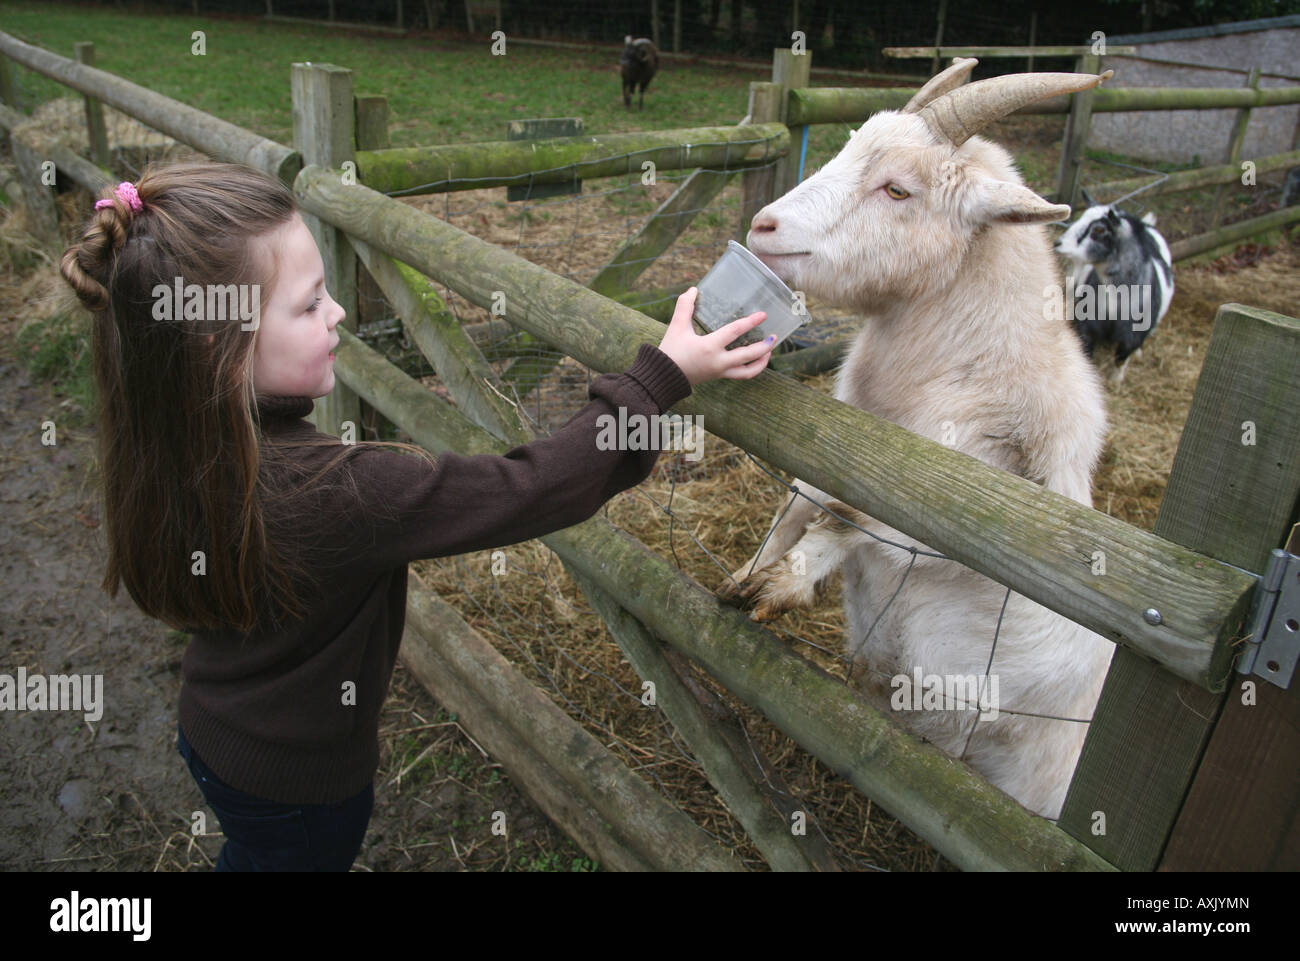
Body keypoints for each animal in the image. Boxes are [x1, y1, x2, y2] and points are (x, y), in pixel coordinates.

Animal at [716, 59, 1117, 821]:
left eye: (898, 188)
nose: (764, 224)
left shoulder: (970, 508)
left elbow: (858, 521)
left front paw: (784, 584)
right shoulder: (833, 441)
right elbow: (799, 500)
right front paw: (745, 574)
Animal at [1053, 191, 1174, 385]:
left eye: (1099, 230)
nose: (1058, 243)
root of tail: (1148, 224)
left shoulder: (1132, 336)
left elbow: (1121, 358)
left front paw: (1116, 381)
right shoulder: (1088, 327)